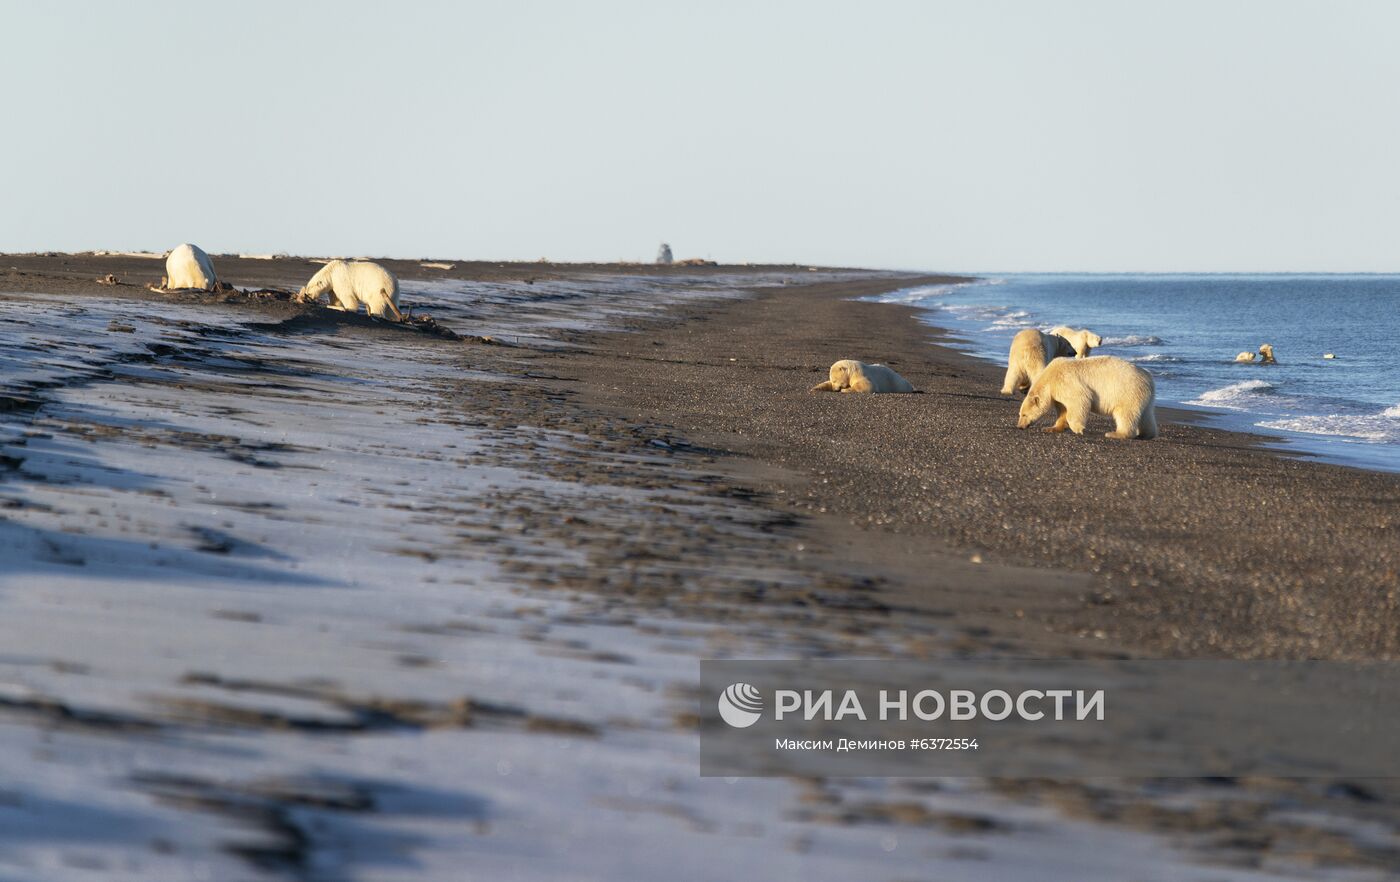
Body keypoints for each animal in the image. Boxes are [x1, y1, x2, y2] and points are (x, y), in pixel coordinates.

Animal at [1019, 355, 1159, 442]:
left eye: (1024, 415)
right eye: (1020, 414)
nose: (1019, 426)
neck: (1050, 377)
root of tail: (1148, 378)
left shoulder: (1065, 380)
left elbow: (1079, 400)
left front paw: (1079, 429)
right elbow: (1063, 410)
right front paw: (1051, 428)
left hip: (1127, 391)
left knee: (1125, 413)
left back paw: (1116, 434)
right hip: (1144, 395)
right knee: (1146, 414)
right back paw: (1146, 434)